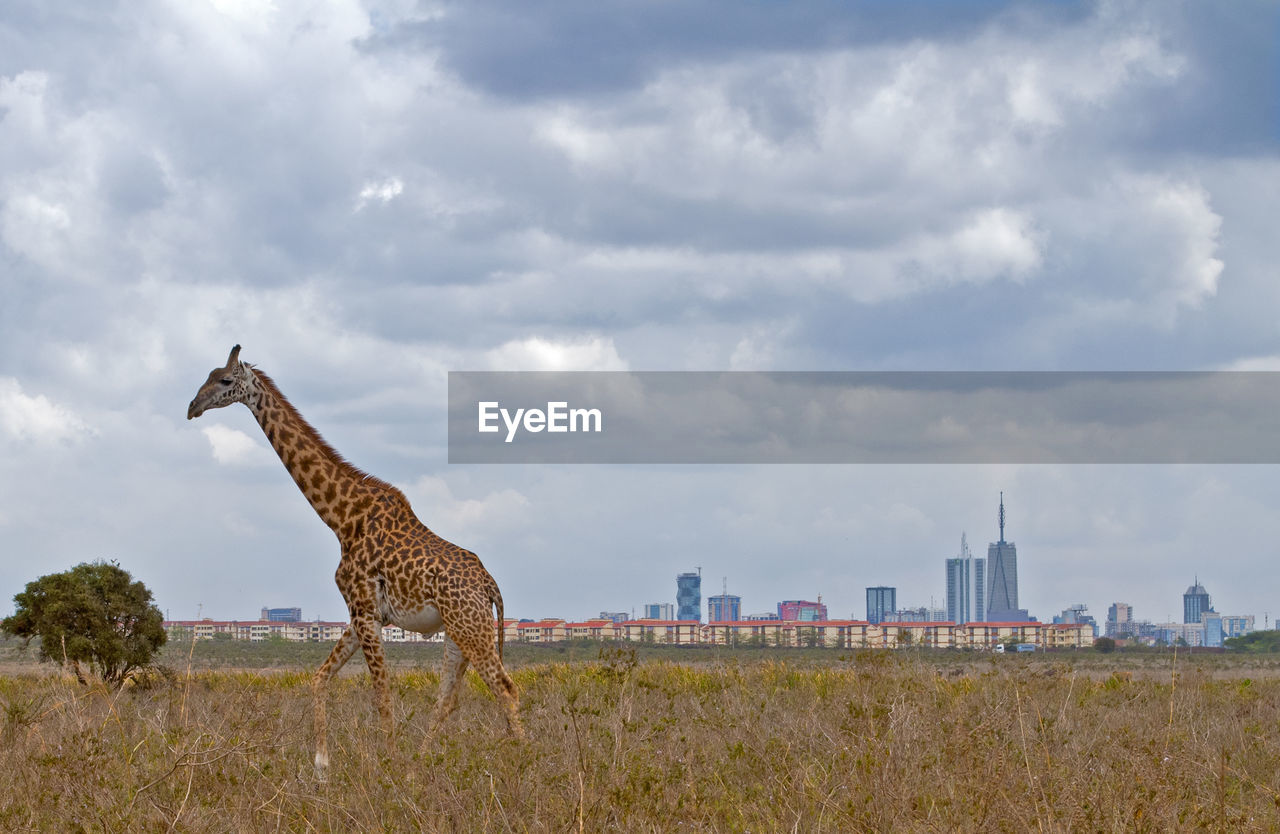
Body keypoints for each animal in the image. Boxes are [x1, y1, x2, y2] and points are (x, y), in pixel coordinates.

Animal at [184, 345, 519, 777]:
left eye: (224, 380)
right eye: (207, 376)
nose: (192, 407)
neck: (341, 518)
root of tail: (490, 585)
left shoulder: (365, 611)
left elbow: (382, 695)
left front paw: (386, 766)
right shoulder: (360, 613)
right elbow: (319, 678)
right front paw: (322, 766)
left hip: (471, 626)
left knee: (506, 690)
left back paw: (523, 760)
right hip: (459, 632)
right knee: (449, 698)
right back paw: (422, 763)